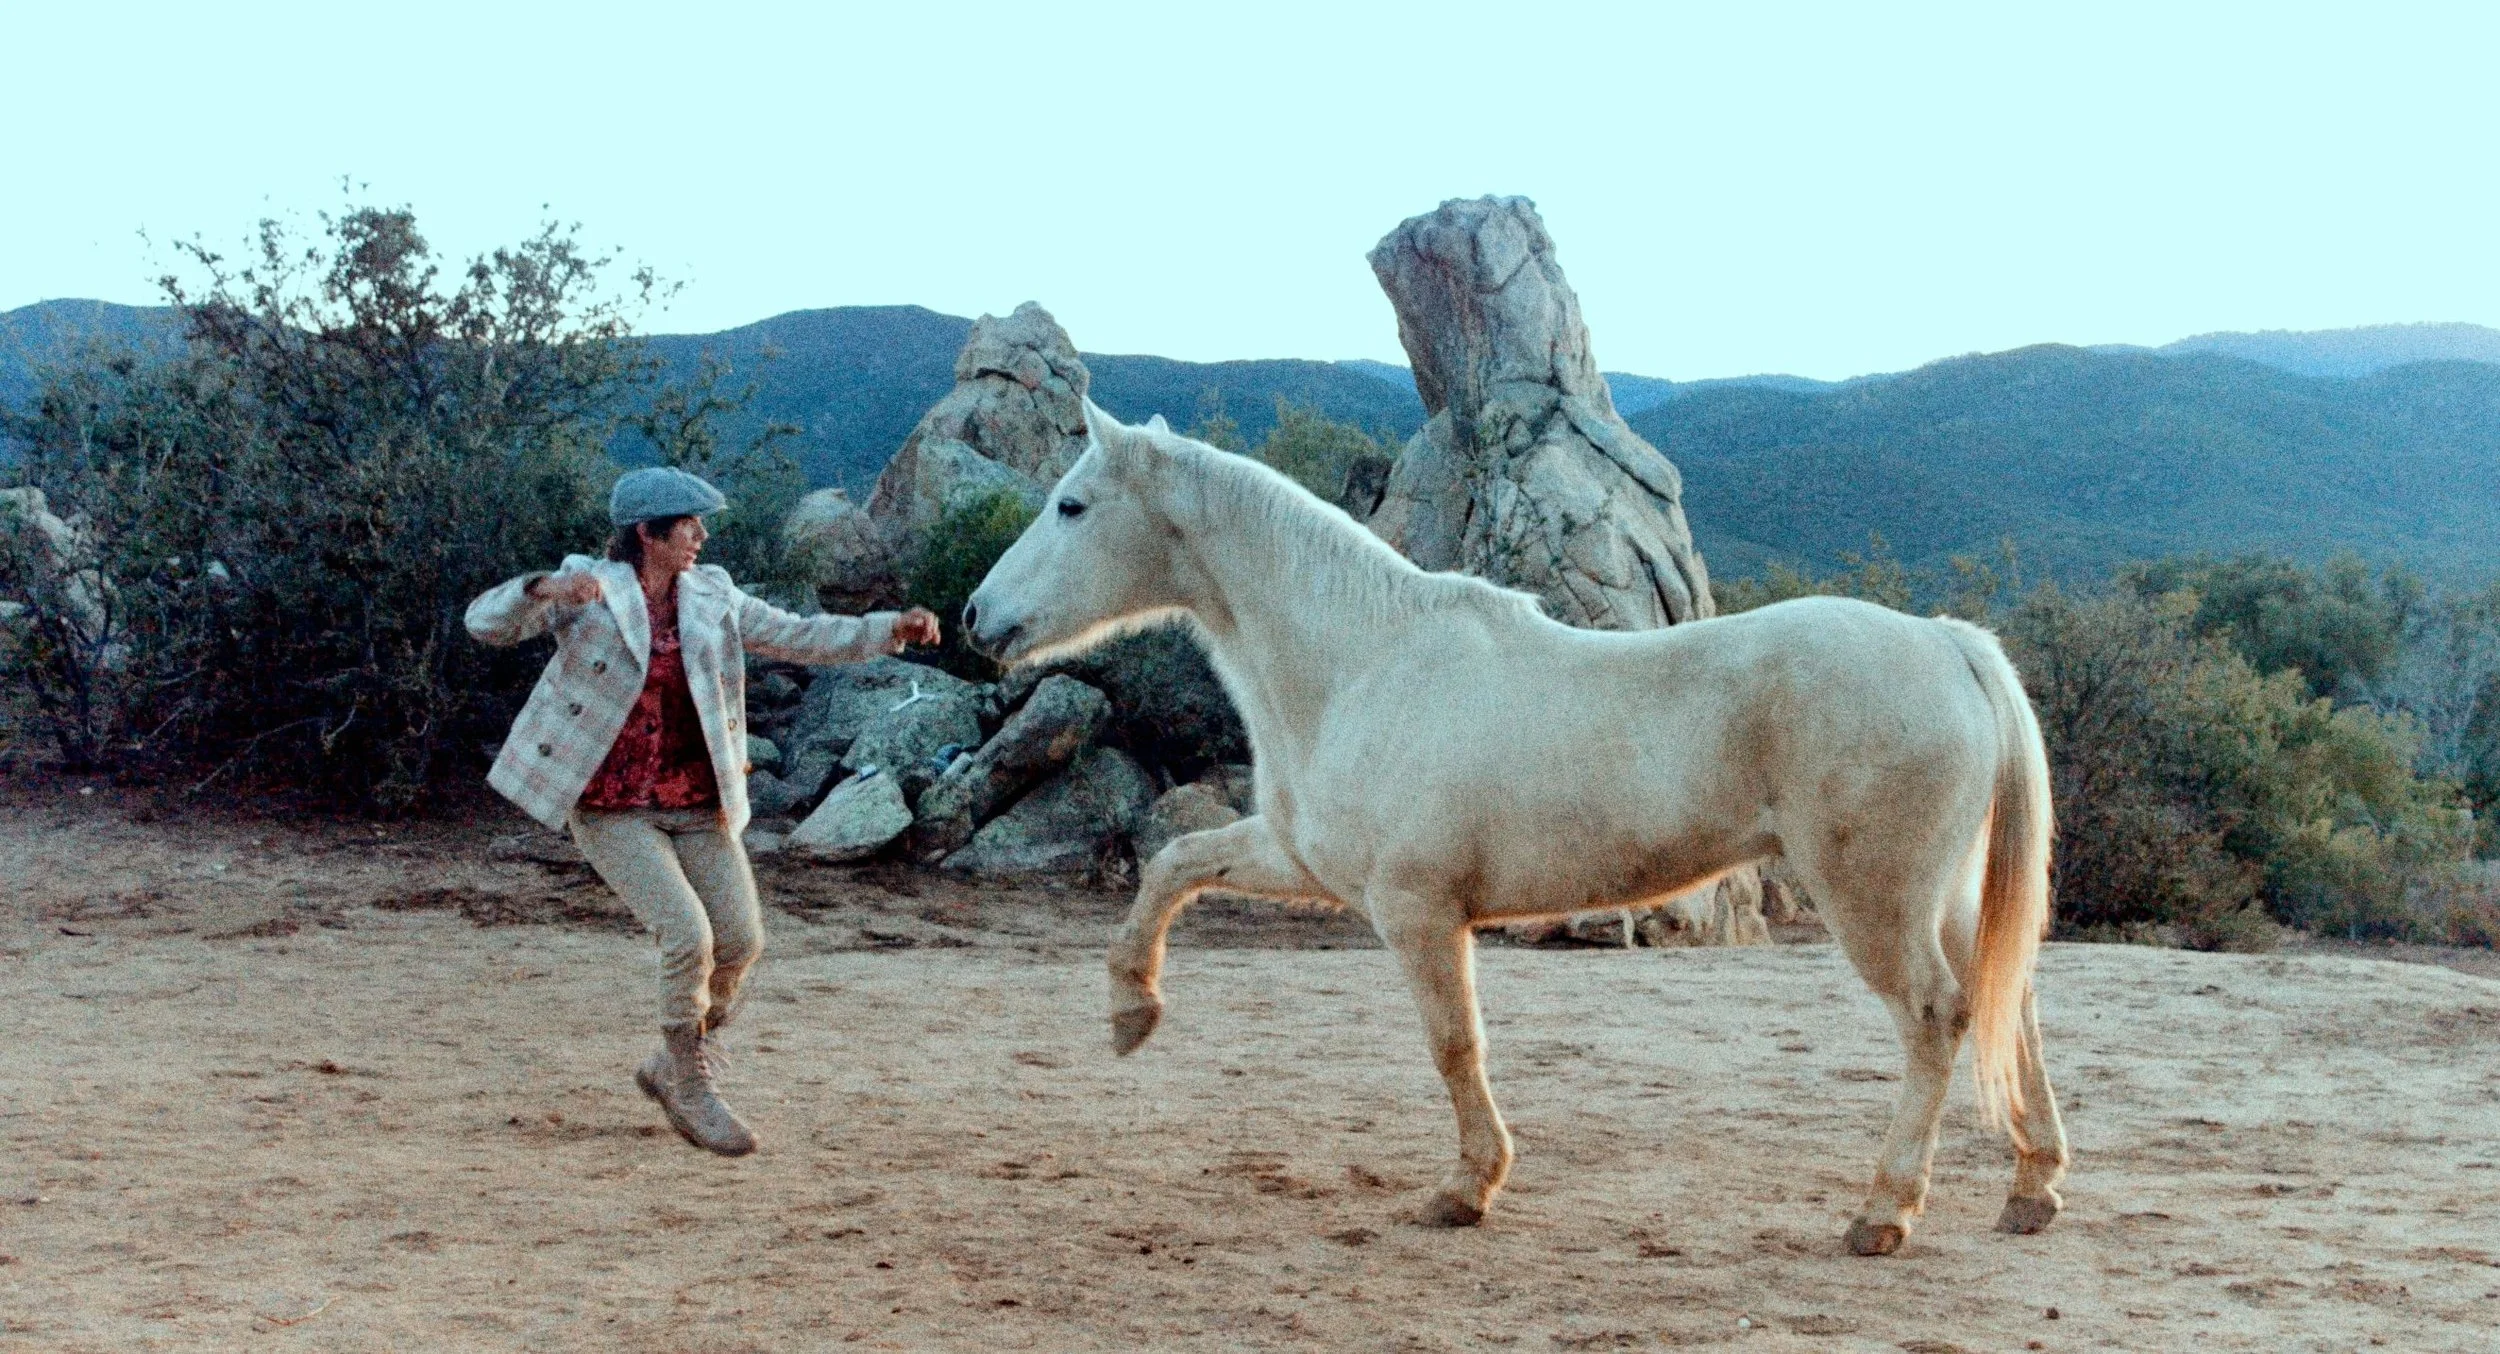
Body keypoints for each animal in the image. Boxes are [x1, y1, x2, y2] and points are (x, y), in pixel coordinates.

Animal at [962, 402, 2069, 1255]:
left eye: (1071, 504)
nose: (976, 617)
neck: (1364, 661)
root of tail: (1948, 644)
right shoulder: (1305, 860)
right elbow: (1174, 863)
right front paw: (1131, 1012)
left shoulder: (1416, 909)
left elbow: (1456, 1044)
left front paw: (1466, 1189)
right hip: (1946, 897)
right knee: (2007, 1005)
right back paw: (2031, 1189)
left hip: (1875, 901)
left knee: (1937, 1018)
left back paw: (1884, 1212)